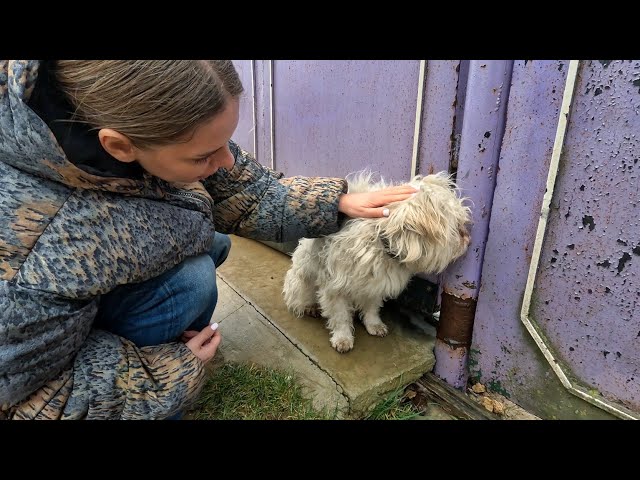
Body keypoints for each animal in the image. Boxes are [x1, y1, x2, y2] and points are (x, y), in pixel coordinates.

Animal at [282, 172, 472, 352]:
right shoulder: (334, 287)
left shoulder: (376, 283)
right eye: (457, 227)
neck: (380, 238)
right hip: (300, 283)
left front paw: (374, 324)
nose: (467, 238)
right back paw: (310, 307)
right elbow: (340, 316)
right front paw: (343, 338)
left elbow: (372, 307)